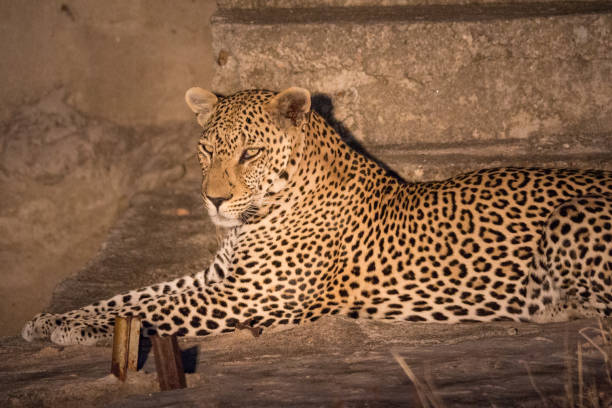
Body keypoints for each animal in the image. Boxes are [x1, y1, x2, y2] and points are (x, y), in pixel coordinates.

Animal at [21, 87, 608, 346]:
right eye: (206, 149)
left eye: (248, 154)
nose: (212, 200)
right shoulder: (219, 278)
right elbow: (131, 297)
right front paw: (51, 318)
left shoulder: (248, 297)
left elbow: (152, 311)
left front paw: (72, 328)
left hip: (571, 215)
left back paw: (543, 309)